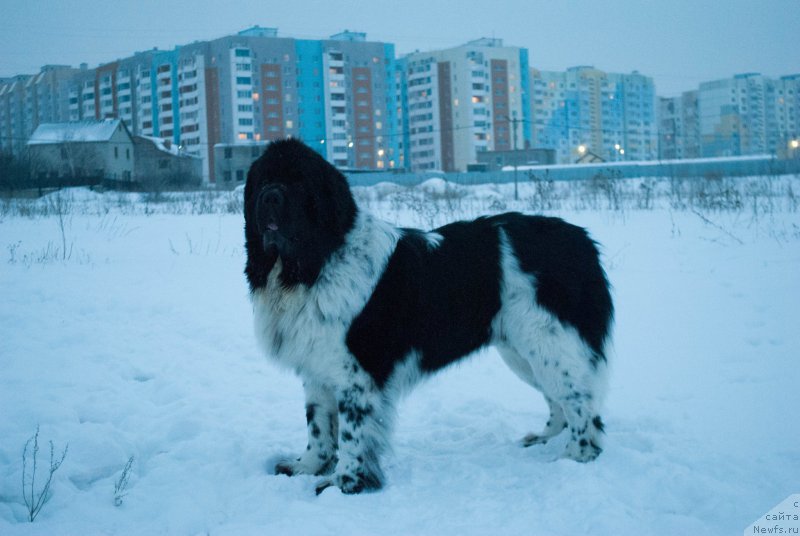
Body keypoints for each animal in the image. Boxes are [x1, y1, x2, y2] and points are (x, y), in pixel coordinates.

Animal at [244, 138, 612, 494]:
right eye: (262, 179)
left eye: (298, 181)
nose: (270, 197)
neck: (313, 265)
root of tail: (582, 239)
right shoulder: (317, 366)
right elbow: (318, 424)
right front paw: (306, 467)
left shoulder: (356, 372)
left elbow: (351, 434)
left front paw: (345, 483)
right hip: (523, 352)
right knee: (559, 400)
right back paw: (544, 439)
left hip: (550, 343)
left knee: (582, 406)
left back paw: (573, 459)